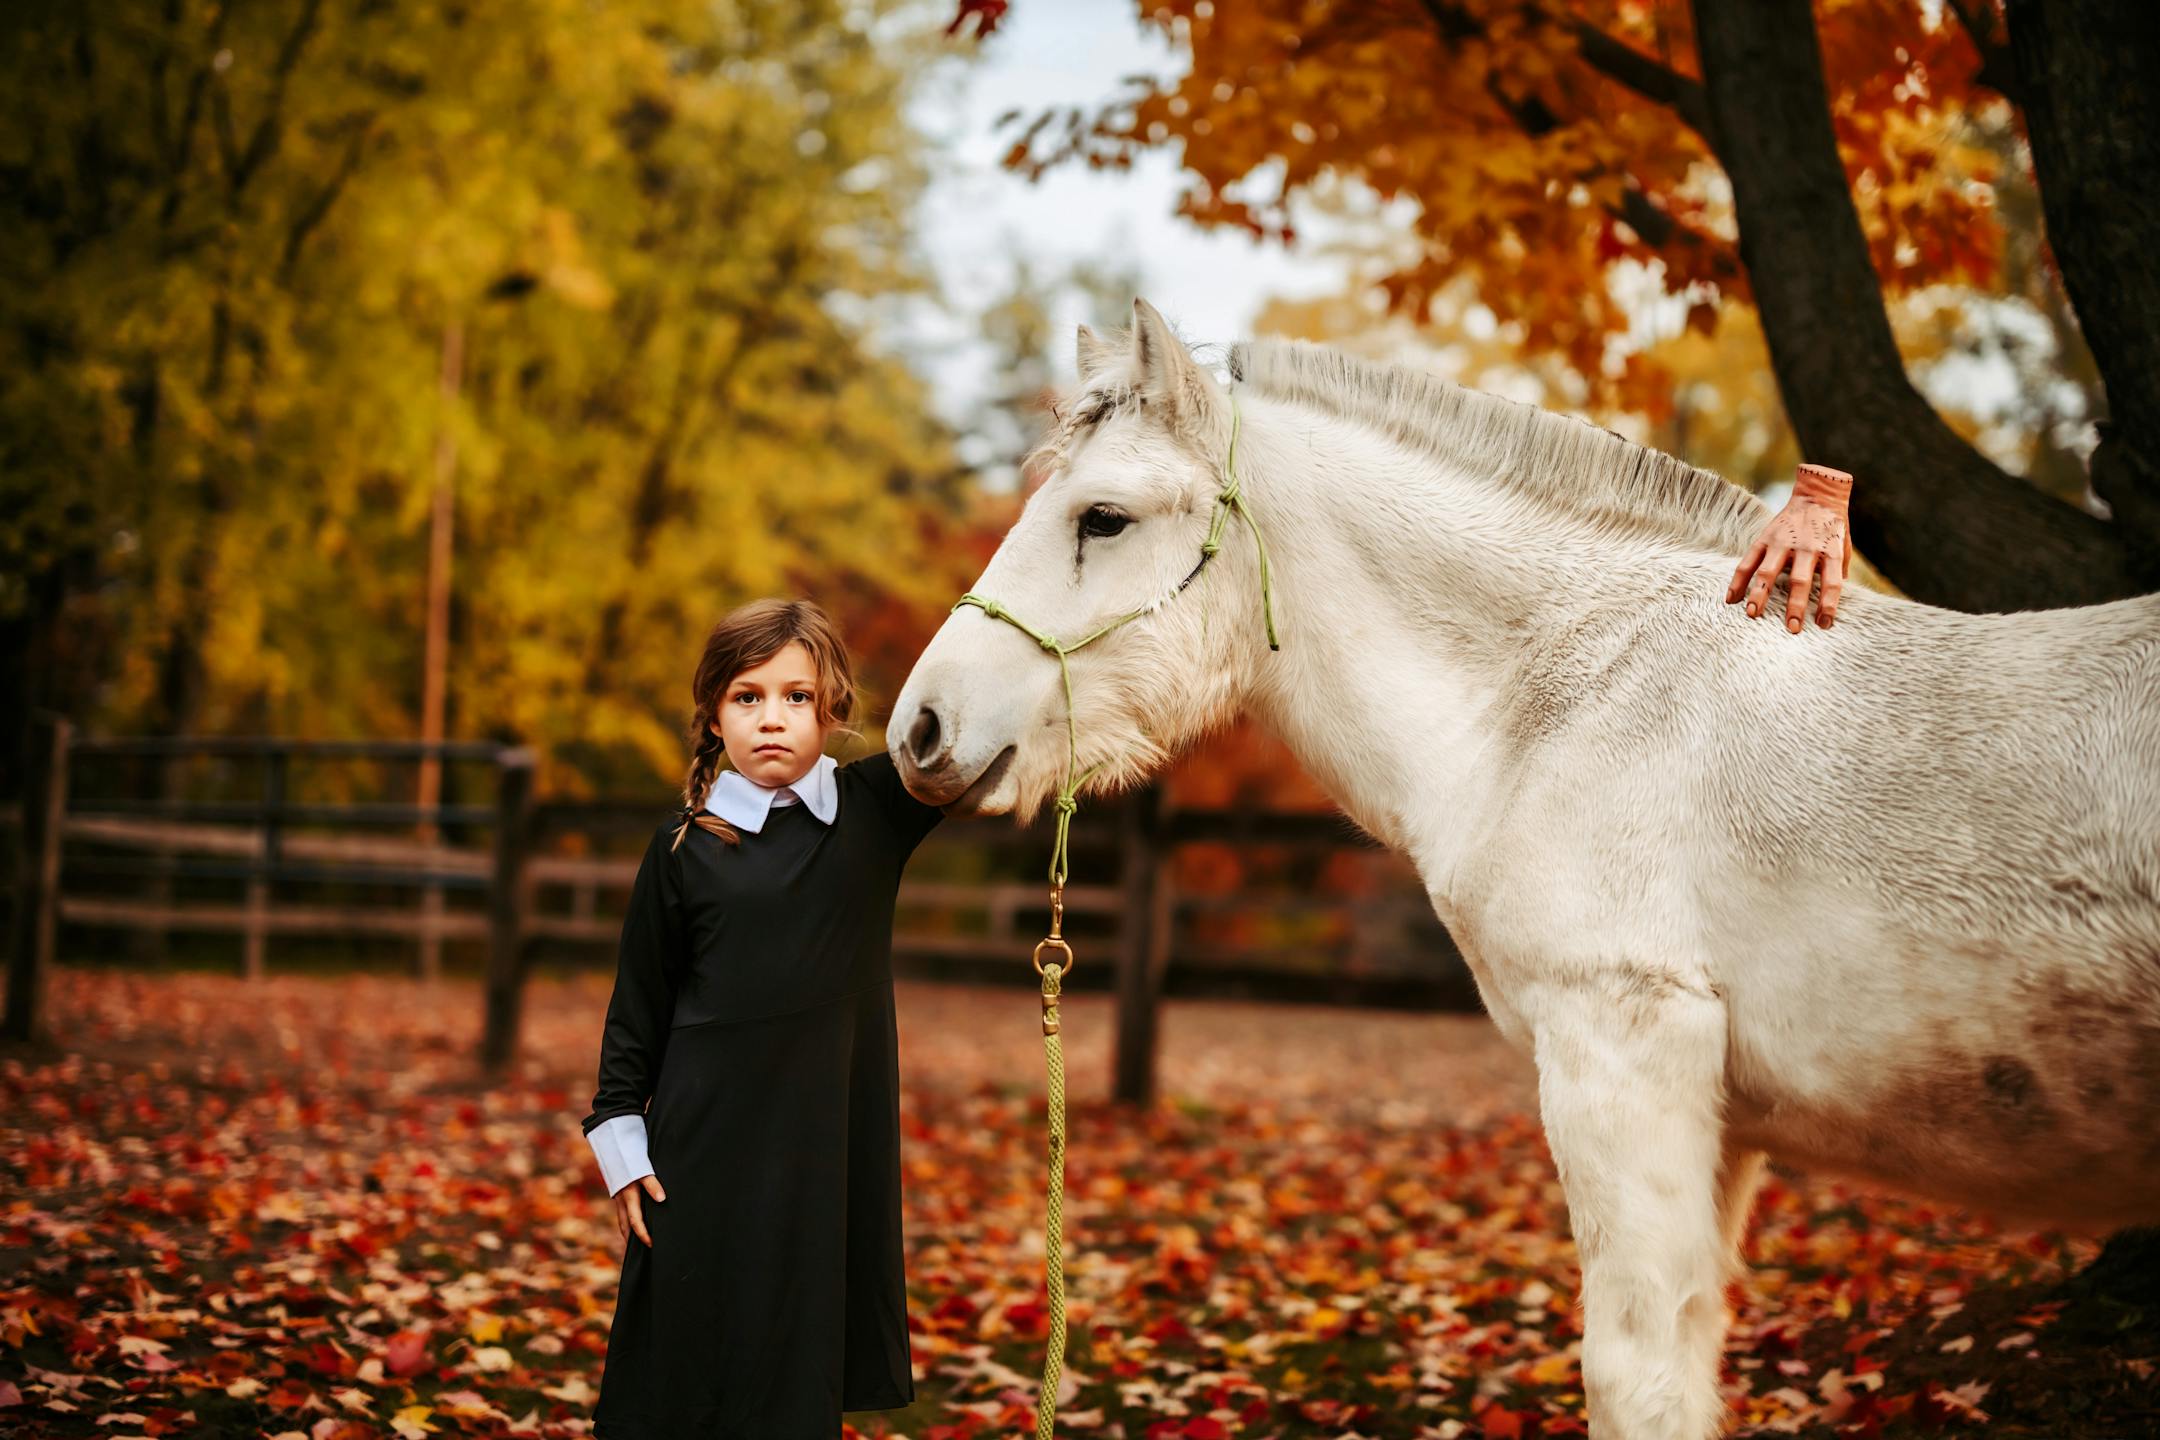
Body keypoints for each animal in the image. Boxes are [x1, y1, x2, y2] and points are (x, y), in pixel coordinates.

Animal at [889, 298, 2160, 1439]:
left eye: (1102, 518)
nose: (920, 729)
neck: (1581, 692)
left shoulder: (1620, 1058)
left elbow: (1635, 1377)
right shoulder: (1715, 1126)